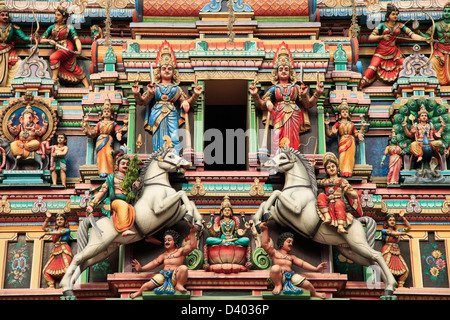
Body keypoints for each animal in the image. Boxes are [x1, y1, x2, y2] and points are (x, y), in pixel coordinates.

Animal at [59, 146, 202, 296]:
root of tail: (96, 222)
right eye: (170, 156)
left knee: (84, 262)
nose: (185, 163)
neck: (158, 185)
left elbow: (190, 203)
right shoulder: (159, 207)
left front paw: (197, 222)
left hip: (105, 249)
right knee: (78, 258)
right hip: (97, 243)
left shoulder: (173, 215)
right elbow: (182, 193)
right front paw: (191, 217)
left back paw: (70, 287)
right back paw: (65, 286)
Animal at [253, 146, 398, 296]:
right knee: (371, 261)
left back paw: (390, 286)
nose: (267, 163)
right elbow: (264, 204)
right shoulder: (282, 217)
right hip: (349, 249)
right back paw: (385, 286)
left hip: (358, 242)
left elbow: (276, 193)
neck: (297, 187)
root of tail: (358, 220)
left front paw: (263, 216)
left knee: (377, 255)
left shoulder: (296, 208)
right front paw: (259, 222)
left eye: (282, 157)